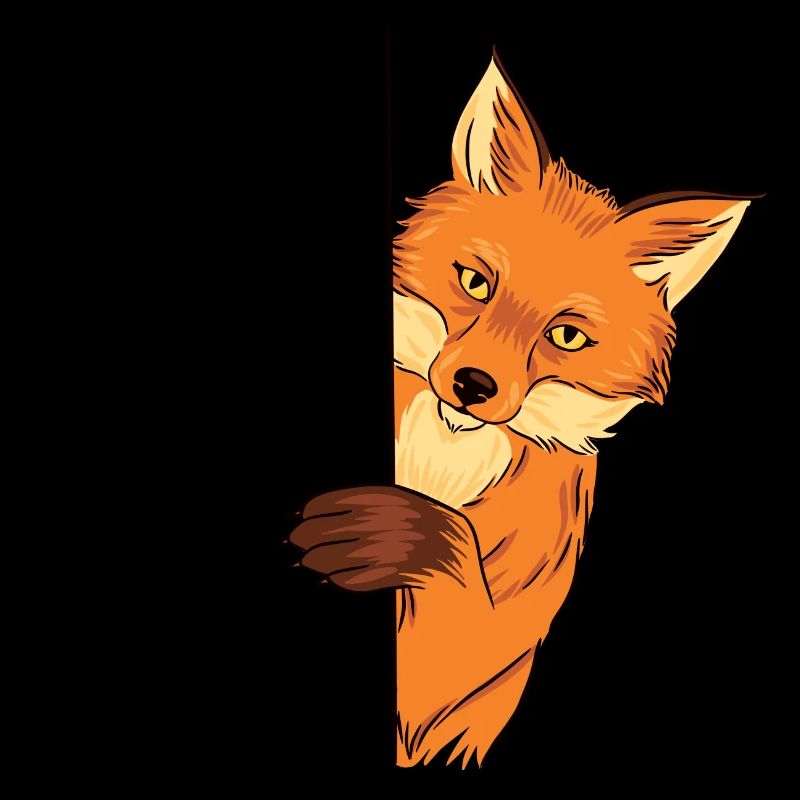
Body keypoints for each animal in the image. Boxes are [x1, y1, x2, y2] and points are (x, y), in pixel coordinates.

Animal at [290, 52, 758, 768]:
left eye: (566, 335)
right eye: (475, 282)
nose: (472, 386)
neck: (441, 462)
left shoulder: (472, 670)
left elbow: (451, 562)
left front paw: (391, 535)